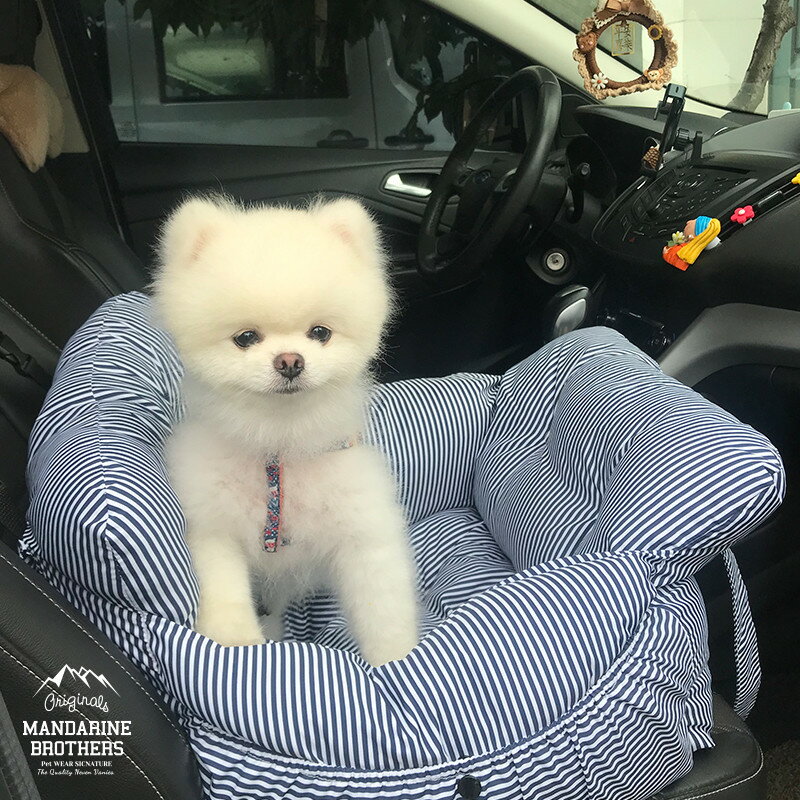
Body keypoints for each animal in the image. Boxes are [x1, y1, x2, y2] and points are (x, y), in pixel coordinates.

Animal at [152, 197, 422, 664]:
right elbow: (223, 585)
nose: (291, 361)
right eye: (245, 337)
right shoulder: (212, 523)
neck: (278, 446)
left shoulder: (362, 529)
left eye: (320, 332)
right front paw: (235, 639)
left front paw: (397, 659)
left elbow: (382, 608)